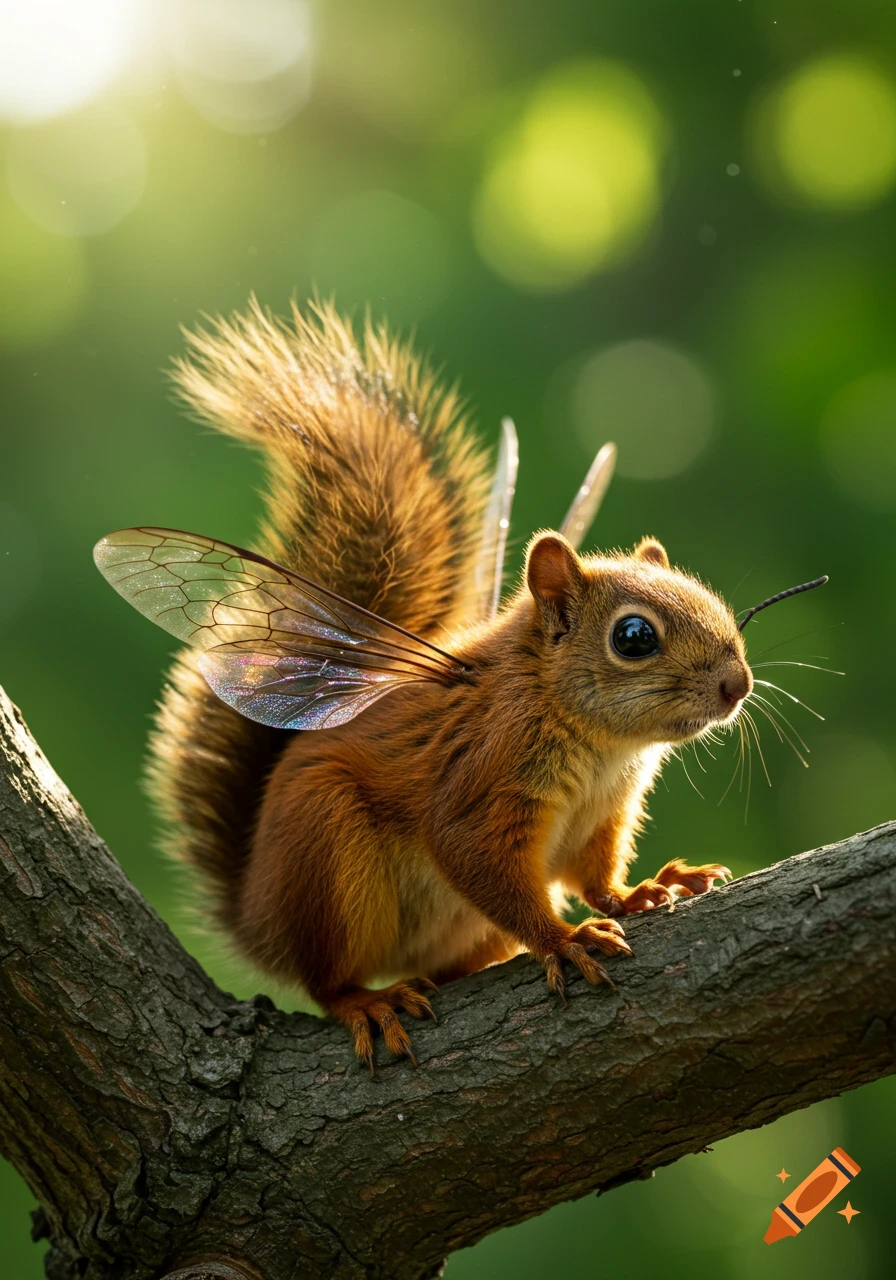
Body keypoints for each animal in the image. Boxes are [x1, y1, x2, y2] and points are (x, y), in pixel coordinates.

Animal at [94, 299, 824, 1070]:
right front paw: (564, 938)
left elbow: (593, 876)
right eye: (633, 637)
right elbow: (475, 856)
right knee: (325, 979)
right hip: (326, 853)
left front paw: (641, 891)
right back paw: (369, 1001)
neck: (598, 743)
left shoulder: (603, 813)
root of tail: (257, 919)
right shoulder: (482, 777)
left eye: (710, 598)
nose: (737, 685)